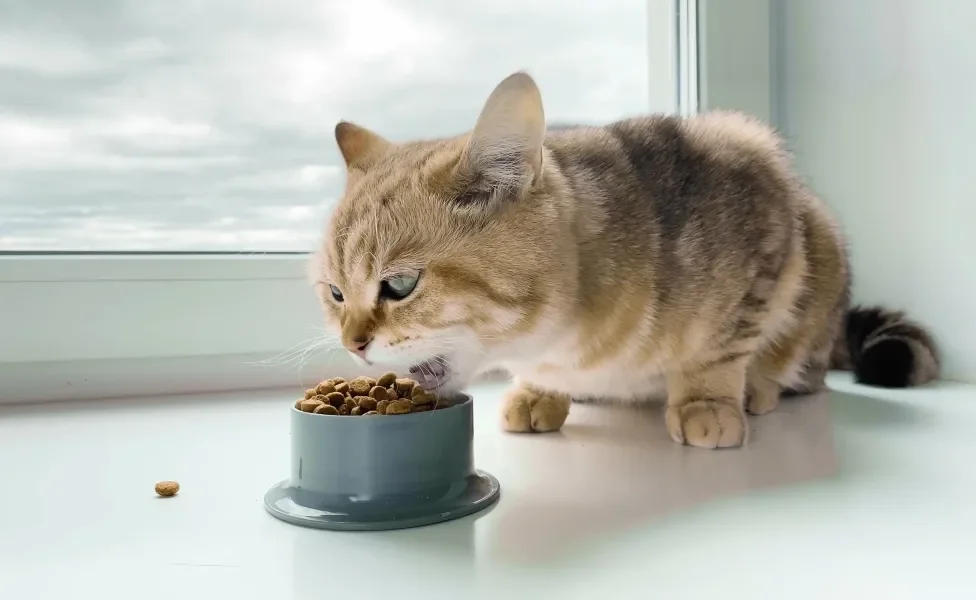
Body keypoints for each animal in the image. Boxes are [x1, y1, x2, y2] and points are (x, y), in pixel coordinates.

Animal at [310, 70, 936, 448]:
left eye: (400, 284)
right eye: (335, 293)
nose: (352, 343)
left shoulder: (762, 216)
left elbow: (720, 349)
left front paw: (709, 401)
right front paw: (537, 393)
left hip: (819, 259)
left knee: (803, 369)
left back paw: (759, 388)